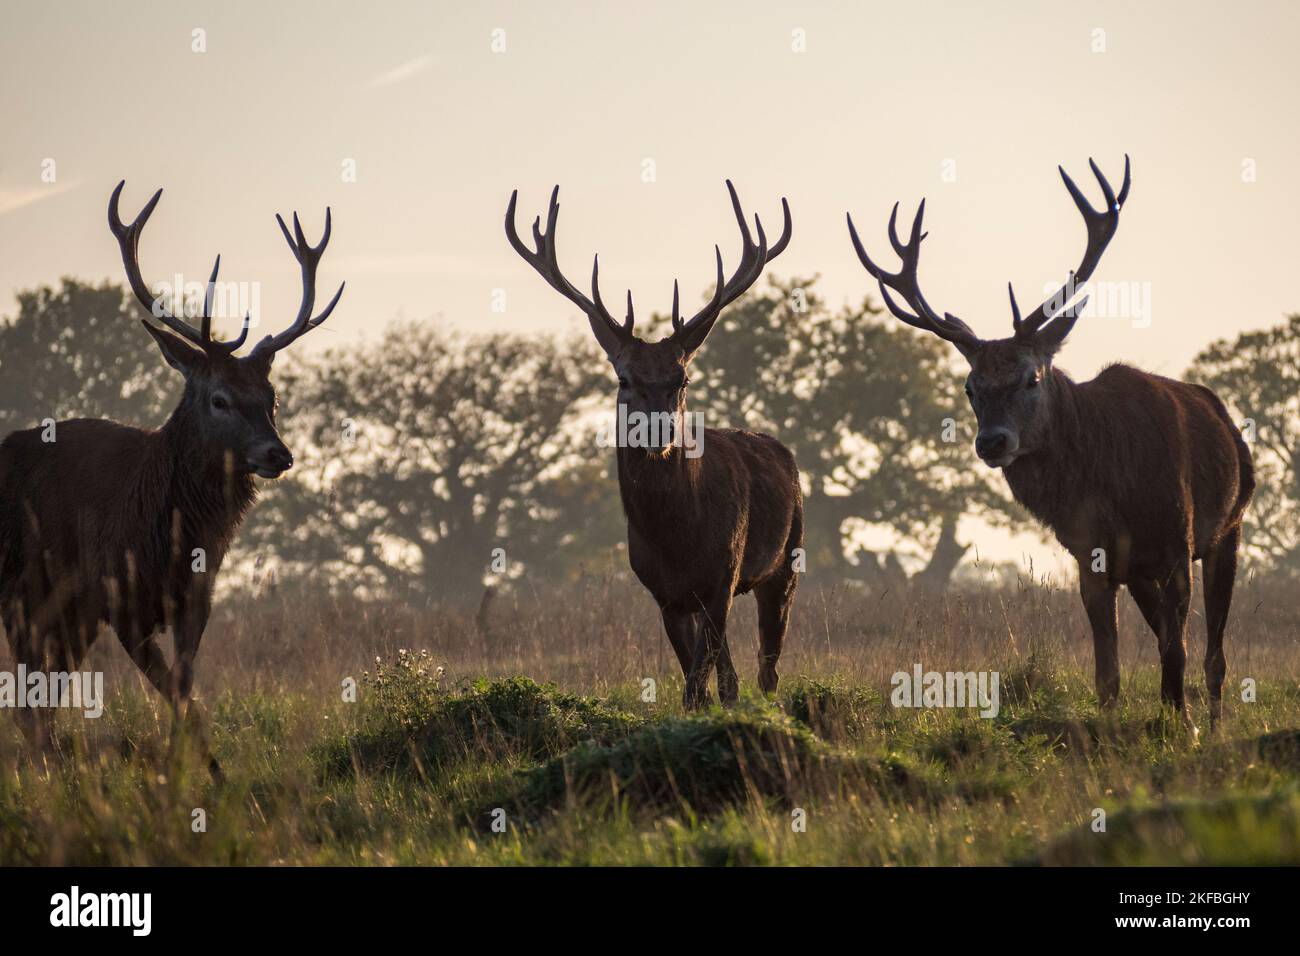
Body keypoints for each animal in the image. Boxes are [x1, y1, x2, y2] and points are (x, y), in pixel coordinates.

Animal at [0, 180, 345, 780]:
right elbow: (171, 690)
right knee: (29, 700)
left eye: (272, 397)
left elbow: (185, 689)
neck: (168, 535)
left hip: (63, 612)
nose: (279, 454)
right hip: (24, 592)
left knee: (41, 699)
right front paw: (184, 773)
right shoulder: (118, 598)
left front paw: (203, 772)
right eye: (219, 398)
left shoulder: (194, 597)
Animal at [506, 183, 800, 712]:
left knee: (768, 666)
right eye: (625, 378)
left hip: (786, 561)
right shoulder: (664, 593)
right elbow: (697, 684)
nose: (660, 431)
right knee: (734, 675)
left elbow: (698, 683)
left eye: (682, 378)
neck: (677, 536)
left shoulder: (723, 576)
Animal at [847, 157, 1253, 728]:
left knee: (1214, 652)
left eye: (1031, 378)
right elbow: (1110, 669)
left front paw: (1185, 728)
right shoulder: (1091, 554)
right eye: (970, 387)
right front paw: (1117, 723)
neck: (1112, 486)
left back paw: (1211, 722)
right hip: (1146, 566)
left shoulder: (1178, 537)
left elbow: (1180, 649)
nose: (992, 442)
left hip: (1230, 526)